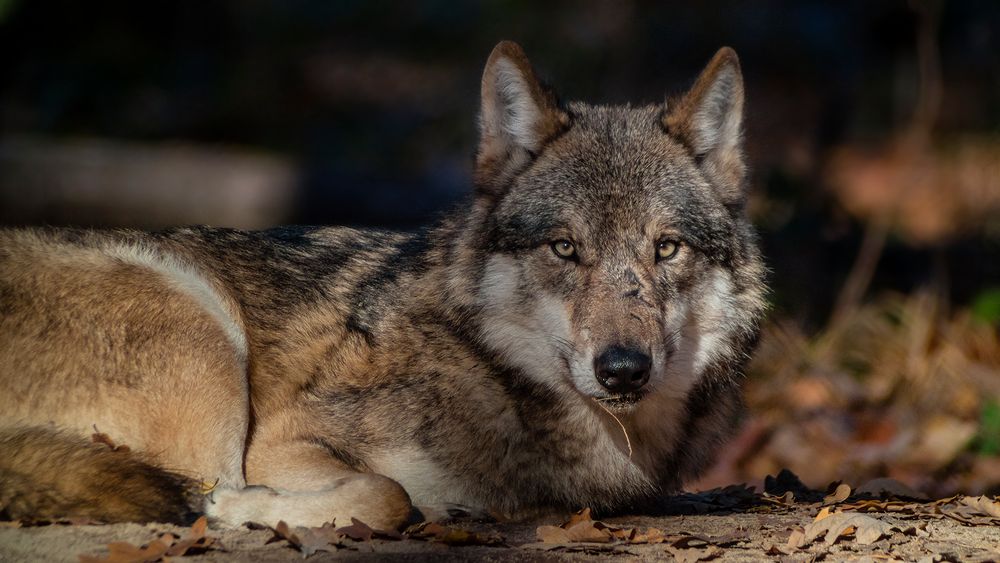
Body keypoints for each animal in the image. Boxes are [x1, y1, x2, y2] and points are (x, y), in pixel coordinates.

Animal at [0, 41, 764, 532]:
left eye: (666, 247)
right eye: (565, 248)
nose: (623, 369)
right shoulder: (282, 438)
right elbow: (387, 493)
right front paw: (246, 510)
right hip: (201, 334)